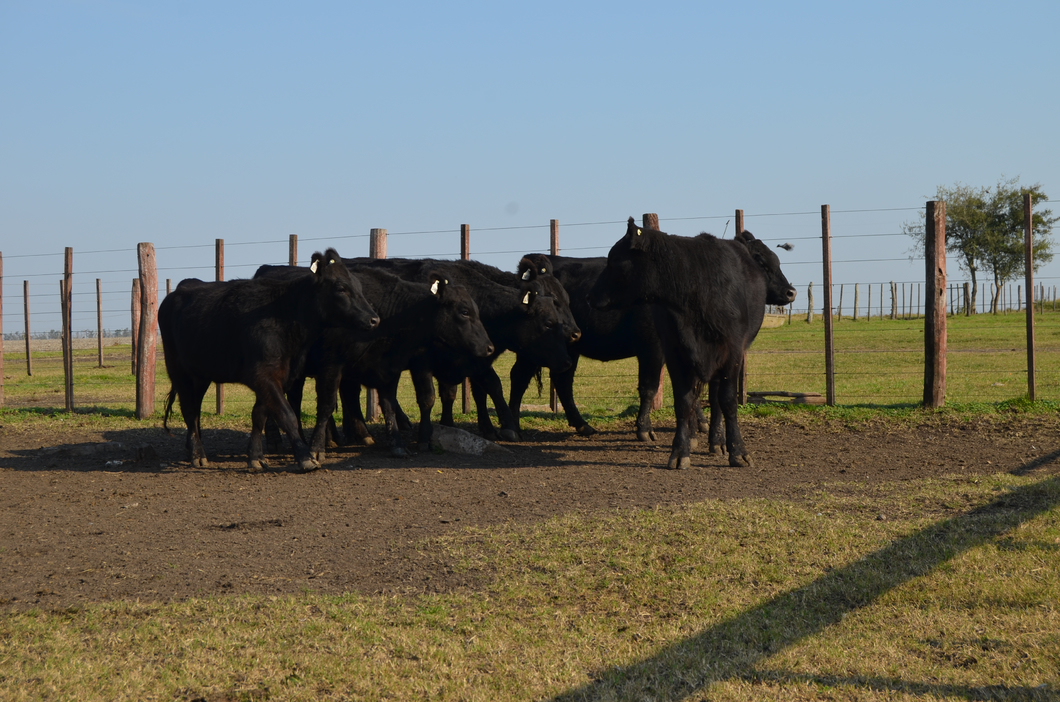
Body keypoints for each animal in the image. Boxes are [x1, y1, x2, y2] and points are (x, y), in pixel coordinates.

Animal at [158, 250, 379, 475]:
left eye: (359, 287)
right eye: (341, 288)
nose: (374, 319)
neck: (284, 316)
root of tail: (181, 289)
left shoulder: (278, 376)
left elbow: (259, 415)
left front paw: (256, 457)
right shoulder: (263, 375)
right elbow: (287, 415)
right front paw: (305, 458)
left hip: (201, 375)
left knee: (195, 410)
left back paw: (193, 449)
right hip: (178, 370)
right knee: (189, 410)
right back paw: (197, 454)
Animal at [254, 262, 493, 455]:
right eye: (464, 311)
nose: (489, 347)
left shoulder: (390, 367)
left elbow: (387, 405)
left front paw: (397, 444)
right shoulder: (332, 364)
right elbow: (327, 404)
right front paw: (316, 450)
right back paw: (279, 441)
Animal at [589, 218, 780, 472]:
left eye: (614, 260)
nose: (590, 296)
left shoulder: (733, 353)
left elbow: (728, 402)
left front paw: (738, 451)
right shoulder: (675, 353)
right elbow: (683, 402)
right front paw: (680, 450)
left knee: (716, 400)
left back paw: (717, 441)